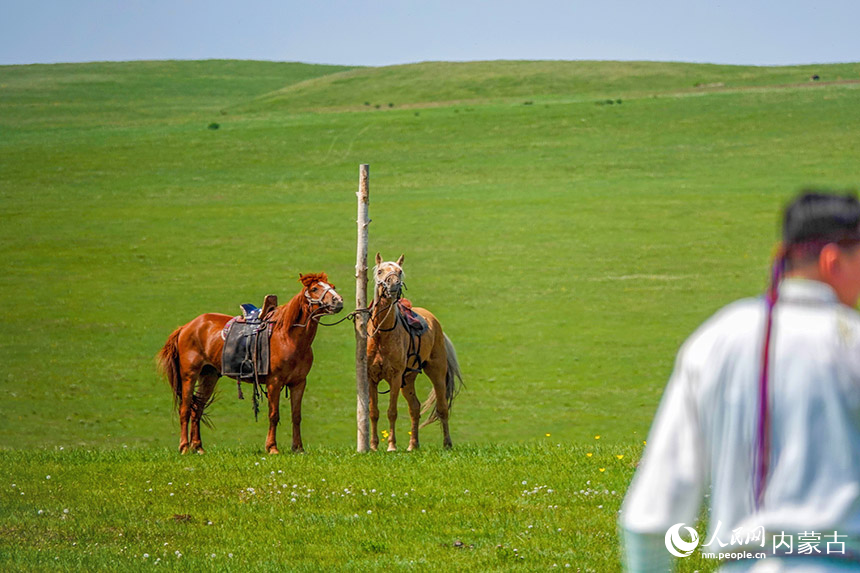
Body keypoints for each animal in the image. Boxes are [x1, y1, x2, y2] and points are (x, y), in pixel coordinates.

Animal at [158, 274, 342, 454]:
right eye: (315, 288)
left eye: (332, 286)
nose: (338, 301)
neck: (288, 336)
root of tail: (185, 327)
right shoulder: (274, 382)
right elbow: (273, 415)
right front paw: (272, 447)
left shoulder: (298, 383)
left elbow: (296, 416)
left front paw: (298, 448)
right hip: (189, 376)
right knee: (185, 410)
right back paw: (184, 447)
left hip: (209, 376)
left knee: (198, 408)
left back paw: (198, 447)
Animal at [370, 252, 464, 450]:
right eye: (380, 271)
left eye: (399, 271)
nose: (393, 285)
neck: (383, 334)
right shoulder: (371, 377)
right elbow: (374, 412)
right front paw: (373, 447)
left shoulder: (395, 377)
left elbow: (392, 412)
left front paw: (391, 446)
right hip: (408, 378)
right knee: (415, 407)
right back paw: (413, 445)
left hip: (436, 372)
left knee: (442, 408)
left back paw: (447, 444)